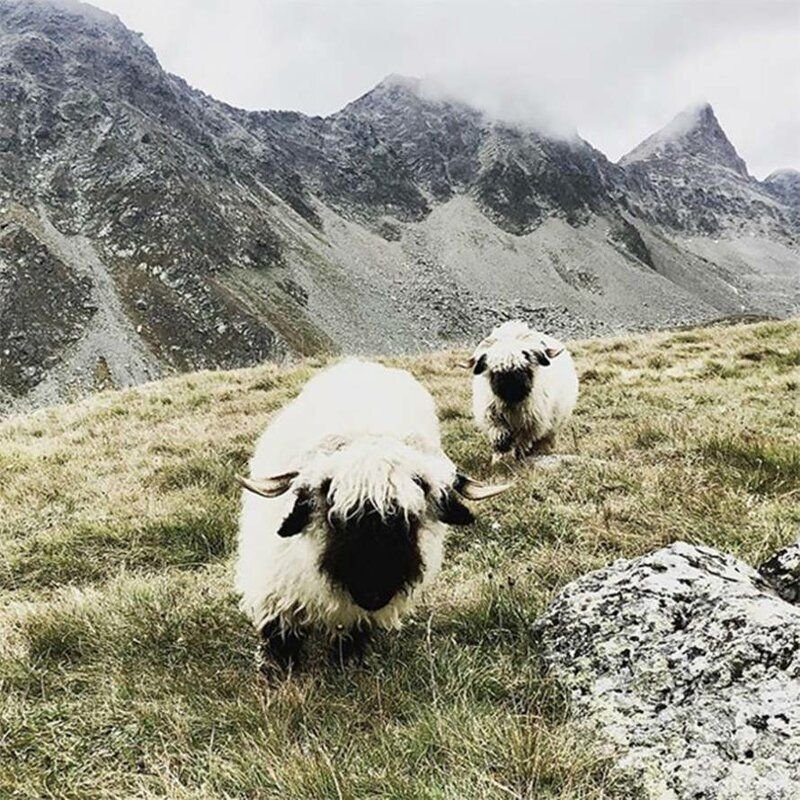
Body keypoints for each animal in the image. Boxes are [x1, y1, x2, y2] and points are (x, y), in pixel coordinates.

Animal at [234, 360, 510, 664]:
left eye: (411, 520)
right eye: (335, 517)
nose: (373, 595)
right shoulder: (277, 586)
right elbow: (280, 635)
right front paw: (280, 667)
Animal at [466, 318, 580, 456]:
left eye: (525, 363)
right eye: (495, 370)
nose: (511, 386)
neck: (512, 403)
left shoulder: (531, 425)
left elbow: (522, 442)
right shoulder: (491, 416)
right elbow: (499, 433)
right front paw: (502, 446)